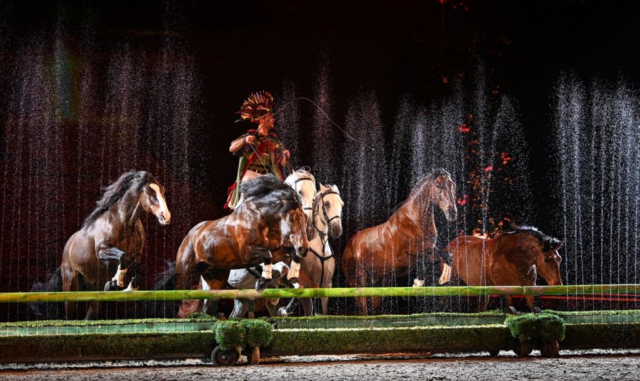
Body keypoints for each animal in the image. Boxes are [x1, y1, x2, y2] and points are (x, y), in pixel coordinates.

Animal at [59, 171, 170, 320]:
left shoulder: (137, 255)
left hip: (93, 287)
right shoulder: (102, 250)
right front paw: (116, 282)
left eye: (162, 191)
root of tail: (68, 245)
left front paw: (128, 286)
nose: (166, 217)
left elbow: (136, 273)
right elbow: (122, 256)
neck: (124, 222)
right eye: (148, 192)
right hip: (70, 283)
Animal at [172, 175, 308, 318]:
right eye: (292, 219)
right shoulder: (247, 254)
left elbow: (289, 260)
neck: (260, 219)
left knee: (210, 305)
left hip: (216, 279)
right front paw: (261, 284)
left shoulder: (276, 250)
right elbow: (268, 256)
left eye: (306, 219)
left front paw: (288, 297)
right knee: (181, 291)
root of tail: (192, 232)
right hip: (184, 269)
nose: (304, 249)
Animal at [278, 182, 342, 314]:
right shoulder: (309, 284)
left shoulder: (327, 285)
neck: (321, 249)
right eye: (327, 203)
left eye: (341, 204)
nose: (336, 229)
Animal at [342, 168, 458, 314]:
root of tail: (347, 247)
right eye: (438, 185)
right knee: (363, 309)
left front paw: (443, 279)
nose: (452, 213)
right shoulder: (406, 259)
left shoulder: (429, 249)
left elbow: (447, 255)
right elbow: (422, 262)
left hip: (380, 282)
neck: (415, 220)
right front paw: (416, 285)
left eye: (453, 185)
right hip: (359, 282)